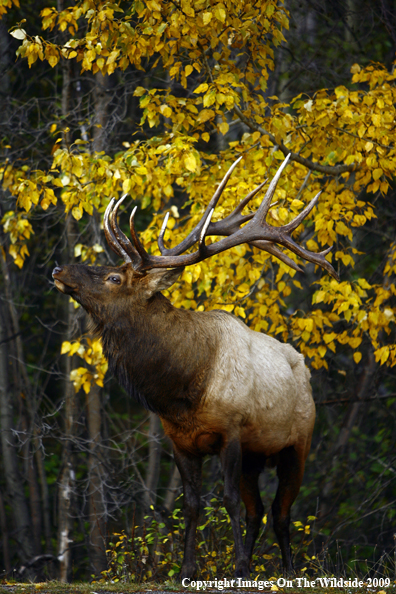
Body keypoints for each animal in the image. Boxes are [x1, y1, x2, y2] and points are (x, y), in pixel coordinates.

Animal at [51, 155, 338, 576]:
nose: (59, 270)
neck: (182, 391)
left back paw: (285, 569)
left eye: (114, 277)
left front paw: (237, 565)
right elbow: (191, 505)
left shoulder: (232, 432)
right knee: (258, 512)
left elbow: (229, 500)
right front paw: (190, 569)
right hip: (256, 456)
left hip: (298, 442)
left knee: (281, 512)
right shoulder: (181, 442)